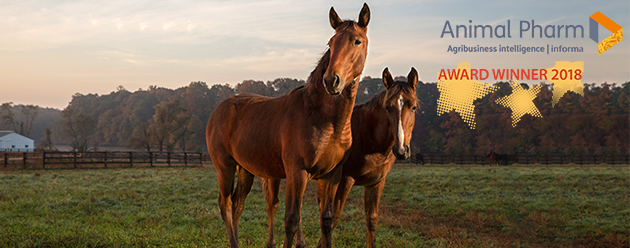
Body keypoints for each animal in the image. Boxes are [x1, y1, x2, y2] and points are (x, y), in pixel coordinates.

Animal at [207, 4, 370, 248]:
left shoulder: (332, 175)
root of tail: (219, 109)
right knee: (225, 205)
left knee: (237, 205)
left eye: (357, 41)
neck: (326, 119)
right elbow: (292, 219)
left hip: (245, 169)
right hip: (225, 168)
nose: (331, 80)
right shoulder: (297, 173)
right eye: (331, 43)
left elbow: (326, 220)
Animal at [262, 67, 420, 247]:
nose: (401, 150)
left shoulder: (376, 183)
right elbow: (334, 218)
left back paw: (300, 242)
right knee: (272, 204)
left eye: (414, 107)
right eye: (387, 107)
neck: (367, 134)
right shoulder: (345, 180)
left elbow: (372, 221)